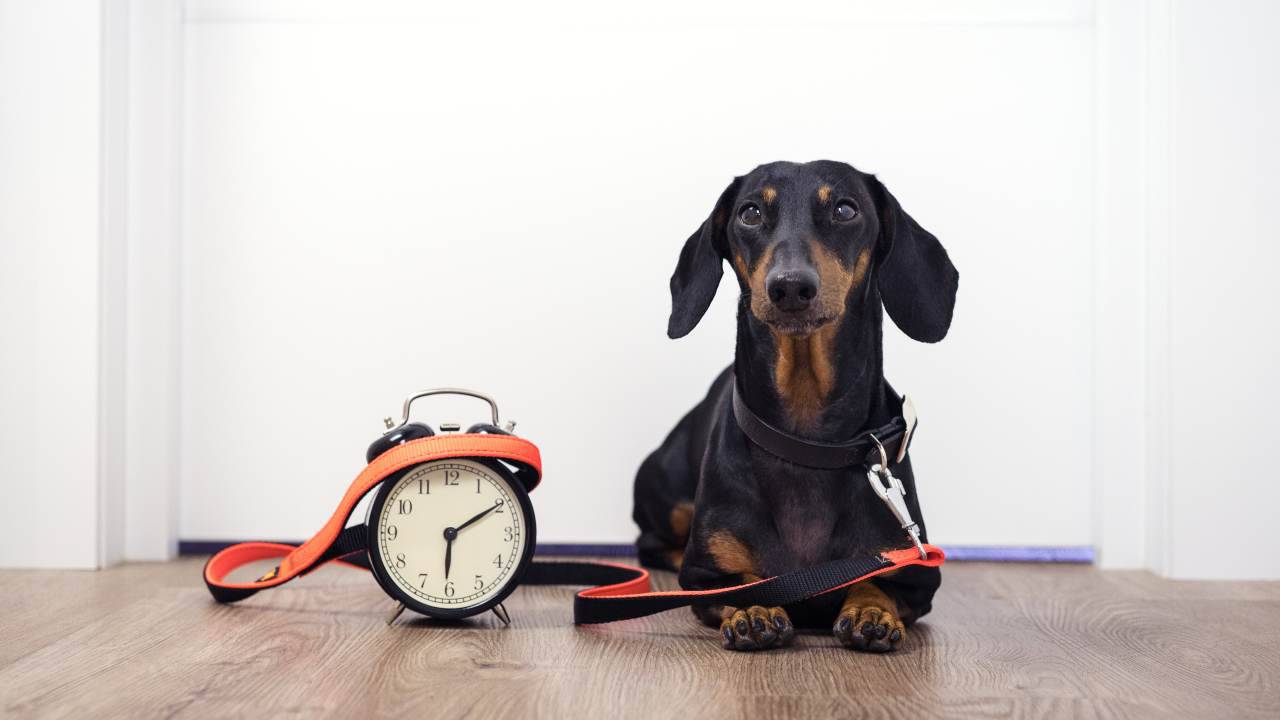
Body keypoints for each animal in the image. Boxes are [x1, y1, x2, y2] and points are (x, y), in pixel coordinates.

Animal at [634, 161, 957, 650]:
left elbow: (875, 581)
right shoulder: (706, 576)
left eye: (845, 209)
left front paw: (870, 611)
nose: (789, 287)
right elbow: (742, 584)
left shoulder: (917, 575)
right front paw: (754, 609)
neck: (806, 440)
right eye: (749, 213)